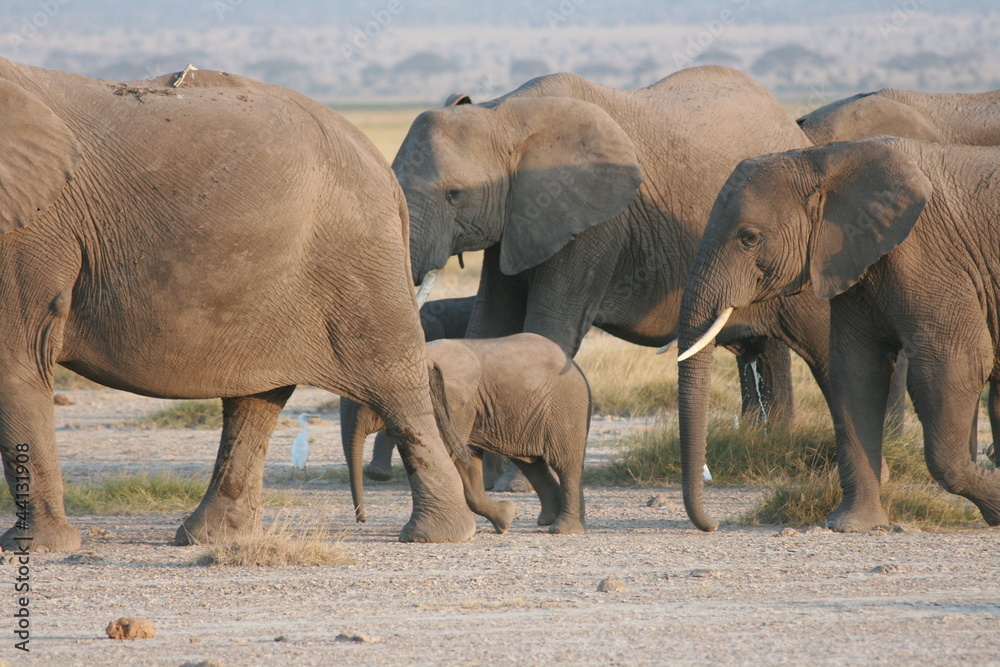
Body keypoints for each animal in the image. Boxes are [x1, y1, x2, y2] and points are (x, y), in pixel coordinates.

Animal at [0, 57, 474, 551]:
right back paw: (211, 537)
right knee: (257, 395)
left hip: (358, 257)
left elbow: (16, 360)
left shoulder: (34, 229)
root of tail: (384, 170)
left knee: (395, 383)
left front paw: (33, 548)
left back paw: (435, 534)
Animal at [342, 334, 592, 534]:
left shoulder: (458, 404)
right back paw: (548, 520)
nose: (361, 520)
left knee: (566, 464)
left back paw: (562, 529)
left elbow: (449, 452)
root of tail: (576, 366)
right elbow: (466, 460)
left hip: (565, 406)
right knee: (532, 464)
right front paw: (506, 519)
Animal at [677, 135, 1000, 532]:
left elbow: (956, 365)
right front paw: (852, 525)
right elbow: (855, 373)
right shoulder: (850, 260)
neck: (824, 159)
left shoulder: (933, 256)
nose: (713, 525)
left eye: (749, 237)